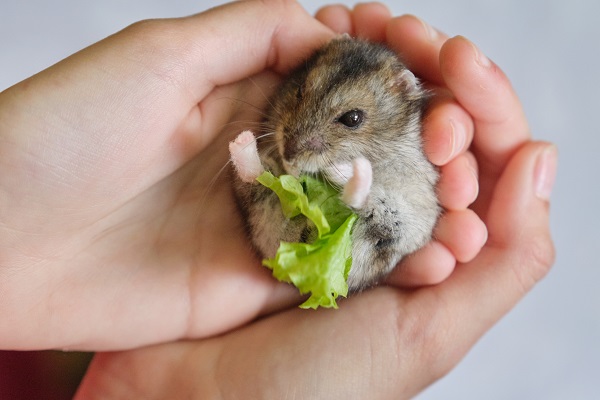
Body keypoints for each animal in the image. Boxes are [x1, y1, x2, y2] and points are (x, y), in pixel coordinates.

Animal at [227, 36, 438, 290]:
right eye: (300, 90)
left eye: (353, 118)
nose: (288, 154)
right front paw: (293, 171)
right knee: (254, 177)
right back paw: (242, 142)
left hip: (400, 224)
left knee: (366, 204)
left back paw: (351, 170)